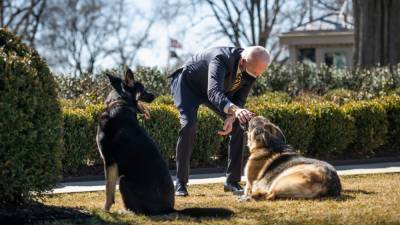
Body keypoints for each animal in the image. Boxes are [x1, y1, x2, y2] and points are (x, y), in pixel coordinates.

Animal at [96, 70, 174, 214]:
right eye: (143, 89)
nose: (154, 95)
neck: (120, 102)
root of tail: (169, 209)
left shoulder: (109, 162)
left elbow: (108, 190)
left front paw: (105, 210)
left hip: (123, 180)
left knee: (138, 210)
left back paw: (126, 211)